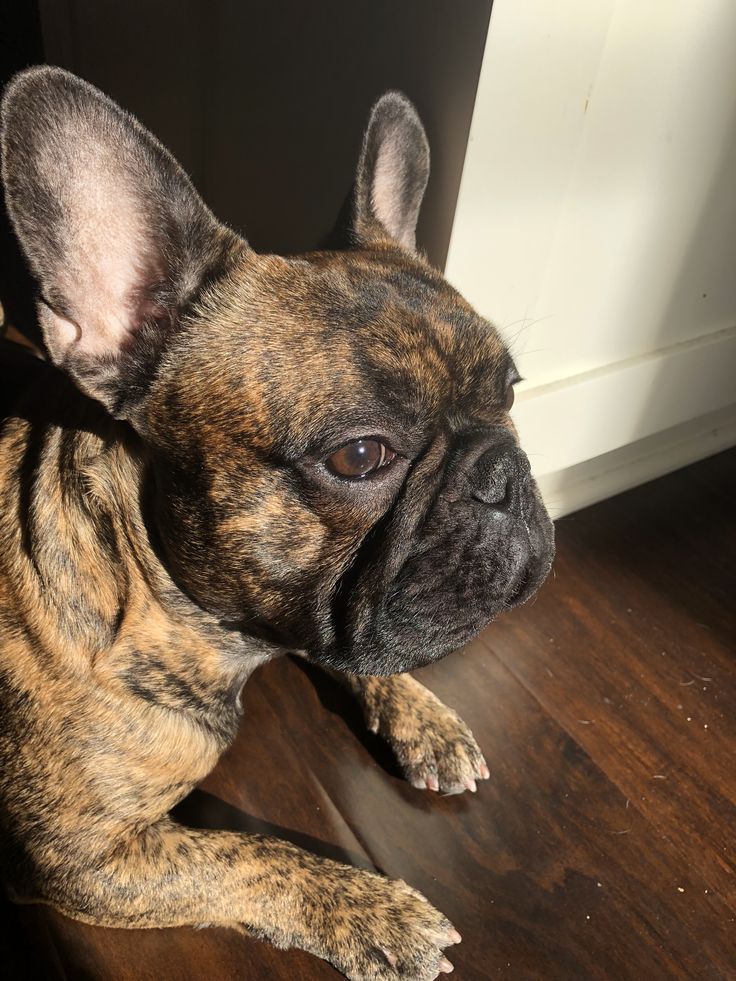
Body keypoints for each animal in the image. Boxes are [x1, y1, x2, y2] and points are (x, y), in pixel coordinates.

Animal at [0, 65, 552, 976]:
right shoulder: (80, 858)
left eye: (508, 392)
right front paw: (372, 910)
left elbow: (357, 643)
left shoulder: (317, 614)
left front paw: (422, 714)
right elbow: (244, 856)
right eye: (360, 456)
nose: (502, 470)